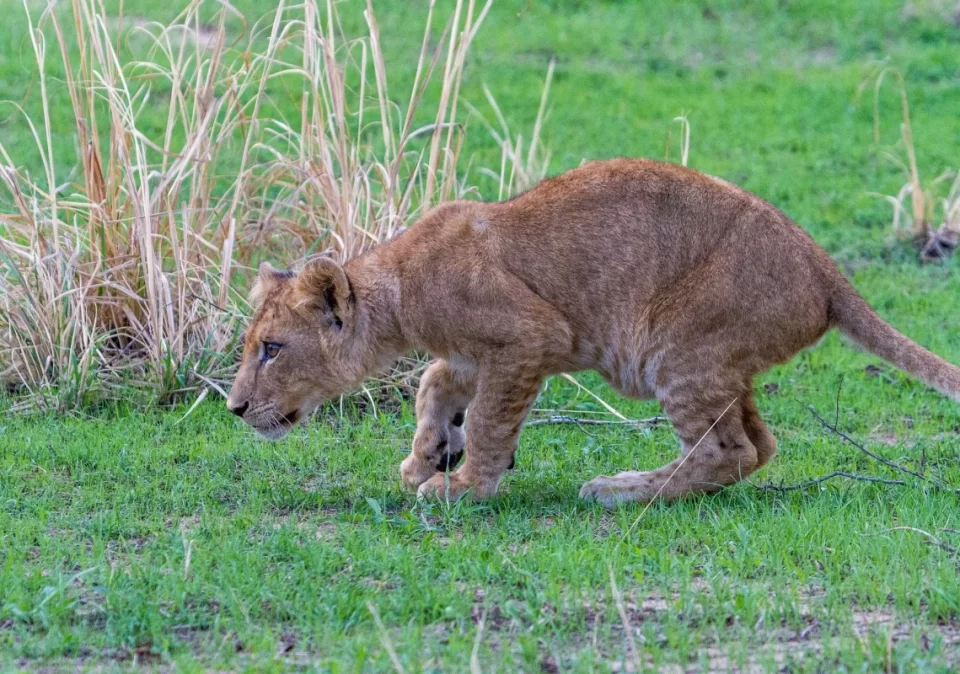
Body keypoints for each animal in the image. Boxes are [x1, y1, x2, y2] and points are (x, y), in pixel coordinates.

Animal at [226, 159, 960, 506]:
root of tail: (826, 271)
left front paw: (465, 487)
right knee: (759, 444)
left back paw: (620, 490)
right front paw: (428, 454)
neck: (402, 286)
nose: (234, 408)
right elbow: (435, 385)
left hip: (679, 351)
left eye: (272, 349)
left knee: (730, 450)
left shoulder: (531, 336)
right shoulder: (473, 351)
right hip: (723, 362)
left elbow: (488, 417)